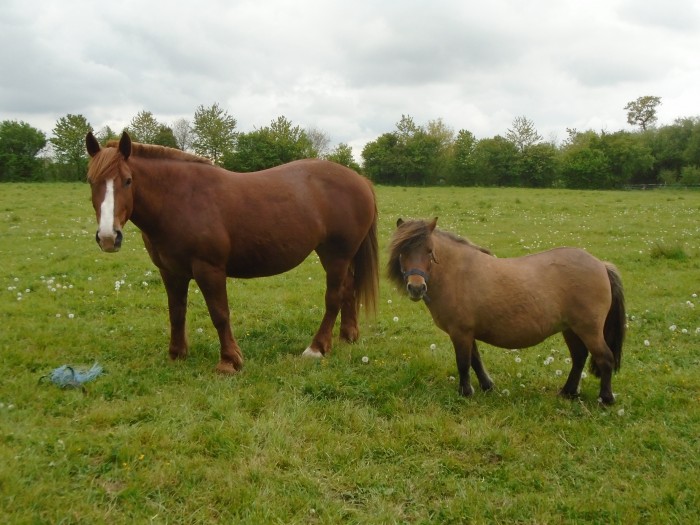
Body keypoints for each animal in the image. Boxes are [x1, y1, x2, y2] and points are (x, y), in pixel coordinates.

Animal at [89, 132, 382, 372]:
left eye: (128, 181)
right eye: (91, 181)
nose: (108, 237)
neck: (181, 199)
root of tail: (360, 180)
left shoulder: (209, 269)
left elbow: (220, 314)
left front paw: (229, 361)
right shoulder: (171, 272)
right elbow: (176, 313)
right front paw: (177, 354)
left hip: (336, 256)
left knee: (334, 297)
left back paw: (317, 348)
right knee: (348, 289)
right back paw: (347, 336)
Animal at [386, 217, 628, 406]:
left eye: (429, 251)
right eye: (402, 251)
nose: (416, 288)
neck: (456, 273)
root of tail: (601, 265)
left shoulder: (460, 332)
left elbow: (464, 363)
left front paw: (465, 393)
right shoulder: (467, 332)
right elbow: (475, 360)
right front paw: (487, 386)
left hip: (589, 329)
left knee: (604, 358)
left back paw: (606, 399)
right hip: (570, 329)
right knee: (579, 358)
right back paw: (568, 392)